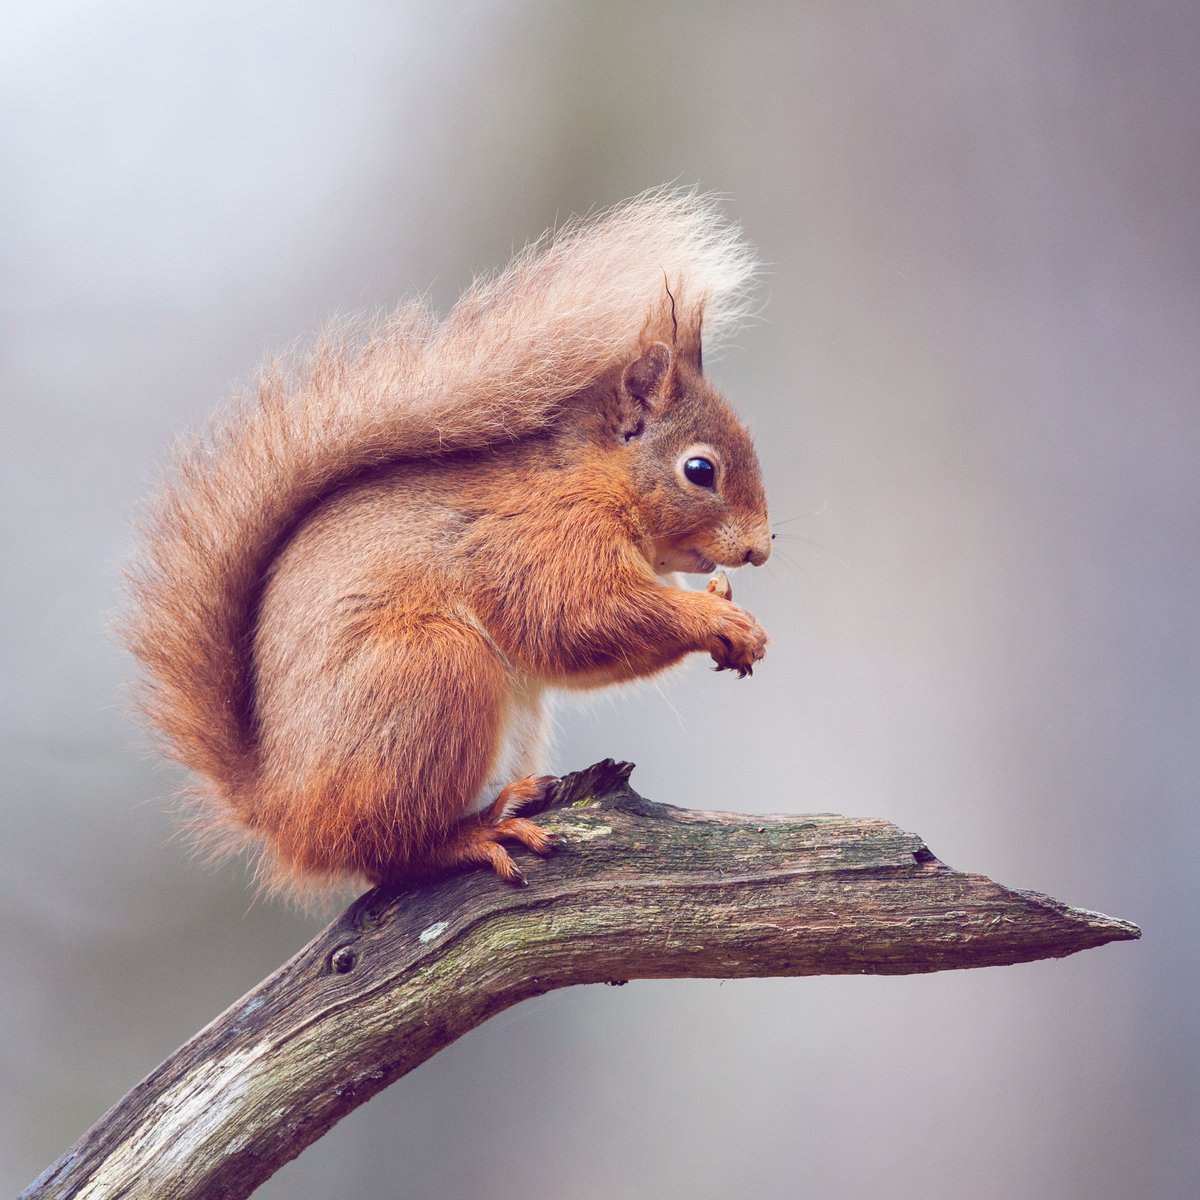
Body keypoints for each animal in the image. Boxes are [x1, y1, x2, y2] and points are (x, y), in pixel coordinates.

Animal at [125, 189, 772, 900]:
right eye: (700, 470)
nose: (761, 549)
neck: (591, 479)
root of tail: (283, 810)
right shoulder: (543, 539)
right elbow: (579, 617)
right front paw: (717, 618)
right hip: (433, 673)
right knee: (391, 851)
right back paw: (477, 833)